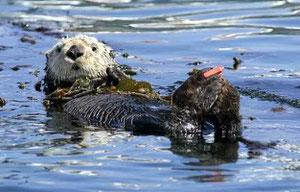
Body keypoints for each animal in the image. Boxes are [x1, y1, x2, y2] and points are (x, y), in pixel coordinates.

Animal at [44, 35, 241, 142]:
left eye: (93, 48)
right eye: (59, 49)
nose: (74, 51)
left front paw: (114, 72)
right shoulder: (58, 93)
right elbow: (63, 93)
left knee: (230, 127)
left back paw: (226, 96)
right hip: (138, 121)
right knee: (180, 125)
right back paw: (201, 87)